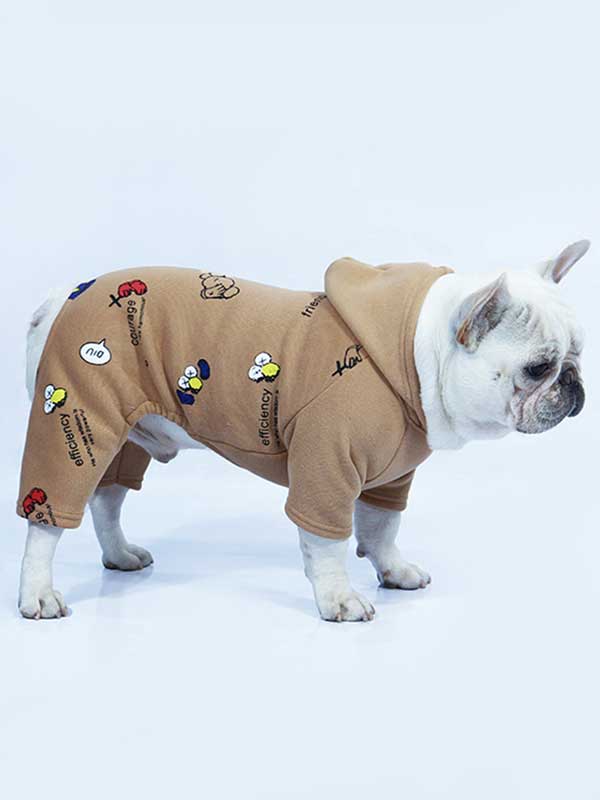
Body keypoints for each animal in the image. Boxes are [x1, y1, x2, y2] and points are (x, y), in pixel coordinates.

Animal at [17, 241, 588, 621]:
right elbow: (329, 540)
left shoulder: (390, 480)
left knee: (107, 499)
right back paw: (37, 594)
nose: (574, 382)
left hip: (128, 433)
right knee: (48, 520)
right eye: (538, 368)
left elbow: (381, 528)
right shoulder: (325, 468)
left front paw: (392, 570)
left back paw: (119, 555)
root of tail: (59, 300)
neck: (412, 353)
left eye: (579, 349)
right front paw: (338, 597)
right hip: (74, 417)